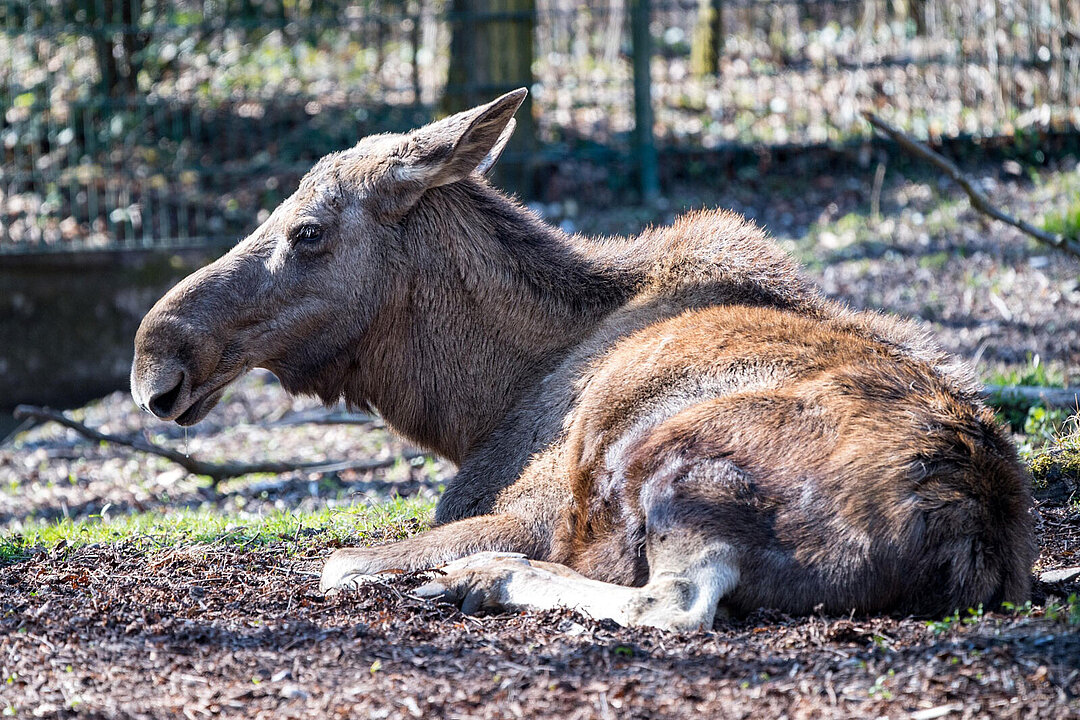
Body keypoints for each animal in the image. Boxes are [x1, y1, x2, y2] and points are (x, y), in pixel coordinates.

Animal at [130, 88, 1032, 630]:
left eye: (309, 231)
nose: (153, 361)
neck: (483, 401)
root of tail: (970, 523)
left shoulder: (528, 510)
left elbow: (341, 565)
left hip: (679, 466)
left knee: (676, 603)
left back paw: (485, 577)